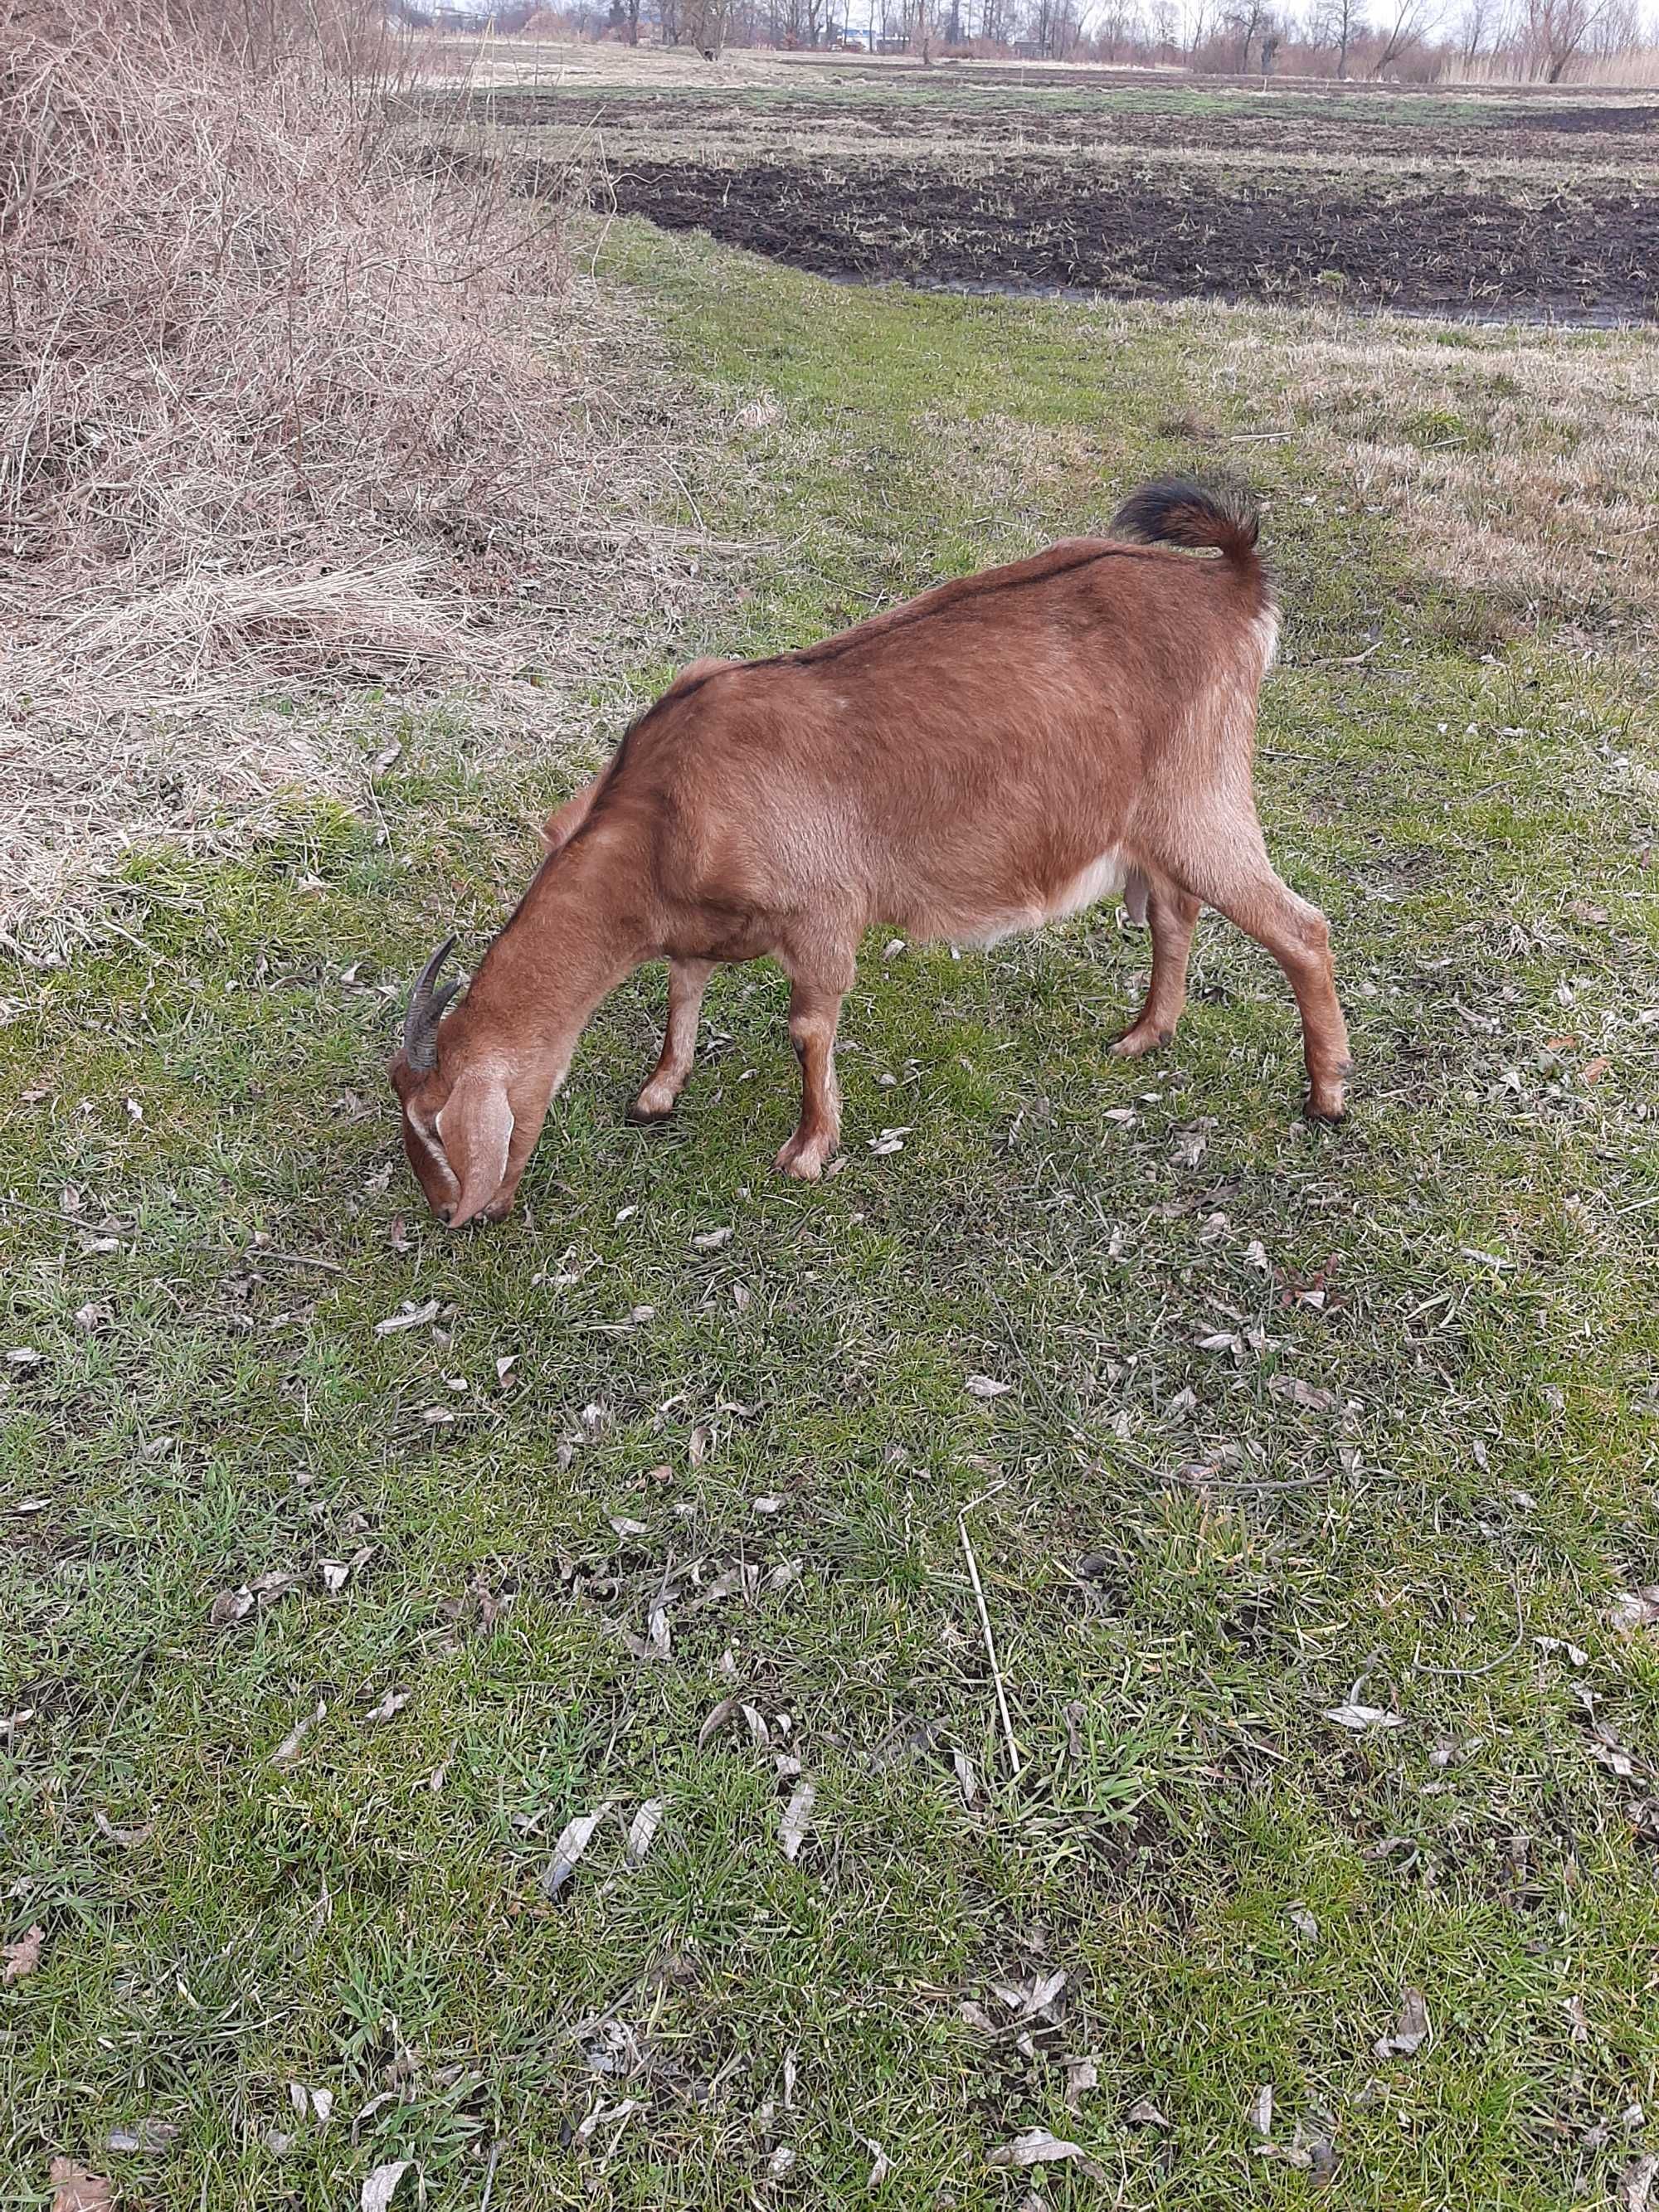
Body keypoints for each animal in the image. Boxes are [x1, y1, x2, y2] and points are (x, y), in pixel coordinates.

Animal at [389, 479, 1354, 1229]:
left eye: (435, 1126)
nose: (451, 1214)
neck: (661, 811)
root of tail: (1231, 582)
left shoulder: (821, 913)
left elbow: (808, 1028)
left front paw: (808, 1150)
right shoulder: (700, 924)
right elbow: (681, 988)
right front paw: (658, 1092)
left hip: (1203, 805)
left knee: (1300, 928)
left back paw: (1327, 1094)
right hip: (1155, 829)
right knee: (1175, 913)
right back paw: (1145, 1035)